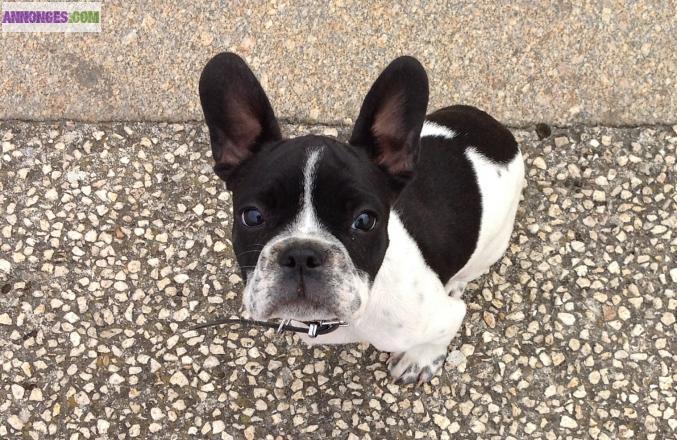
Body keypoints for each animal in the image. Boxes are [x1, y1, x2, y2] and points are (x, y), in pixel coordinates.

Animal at [198, 52, 524, 384]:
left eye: (365, 221)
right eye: (252, 216)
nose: (301, 254)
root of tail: (497, 132)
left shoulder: (444, 317)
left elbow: (442, 334)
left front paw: (420, 360)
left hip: (493, 244)